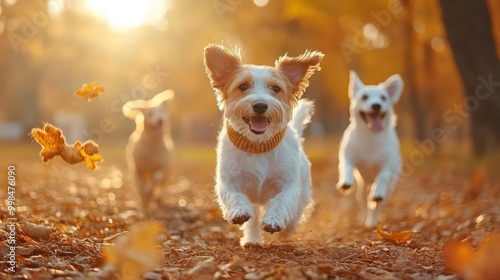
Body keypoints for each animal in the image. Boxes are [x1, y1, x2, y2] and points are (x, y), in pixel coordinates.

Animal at [203, 43, 324, 245]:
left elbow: (283, 200)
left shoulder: (289, 183)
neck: (258, 144)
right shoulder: (229, 181)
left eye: (275, 88)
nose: (260, 105)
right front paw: (239, 212)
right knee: (253, 218)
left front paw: (274, 220)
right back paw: (252, 239)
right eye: (243, 86)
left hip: (304, 188)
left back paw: (288, 228)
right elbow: (235, 196)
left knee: (298, 210)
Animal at [336, 70, 402, 228]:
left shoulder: (387, 165)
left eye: (384, 98)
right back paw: (364, 218)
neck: (370, 137)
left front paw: (377, 193)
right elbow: (346, 167)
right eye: (364, 97)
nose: (376, 105)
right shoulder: (347, 157)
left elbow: (382, 176)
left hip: (388, 190)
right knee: (363, 202)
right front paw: (346, 182)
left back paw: (371, 221)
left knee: (376, 206)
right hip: (362, 187)